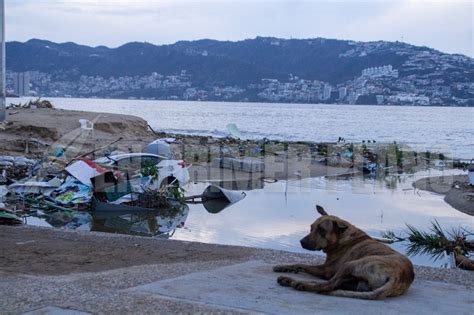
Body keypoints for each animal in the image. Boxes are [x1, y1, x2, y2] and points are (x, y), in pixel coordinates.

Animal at [274, 206, 414, 300]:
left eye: (322, 230)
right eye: (311, 227)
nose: (302, 242)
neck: (342, 238)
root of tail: (398, 277)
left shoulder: (326, 270)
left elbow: (302, 265)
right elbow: (299, 265)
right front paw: (284, 267)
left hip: (350, 265)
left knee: (327, 285)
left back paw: (298, 283)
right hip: (356, 282)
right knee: (333, 285)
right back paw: (288, 280)